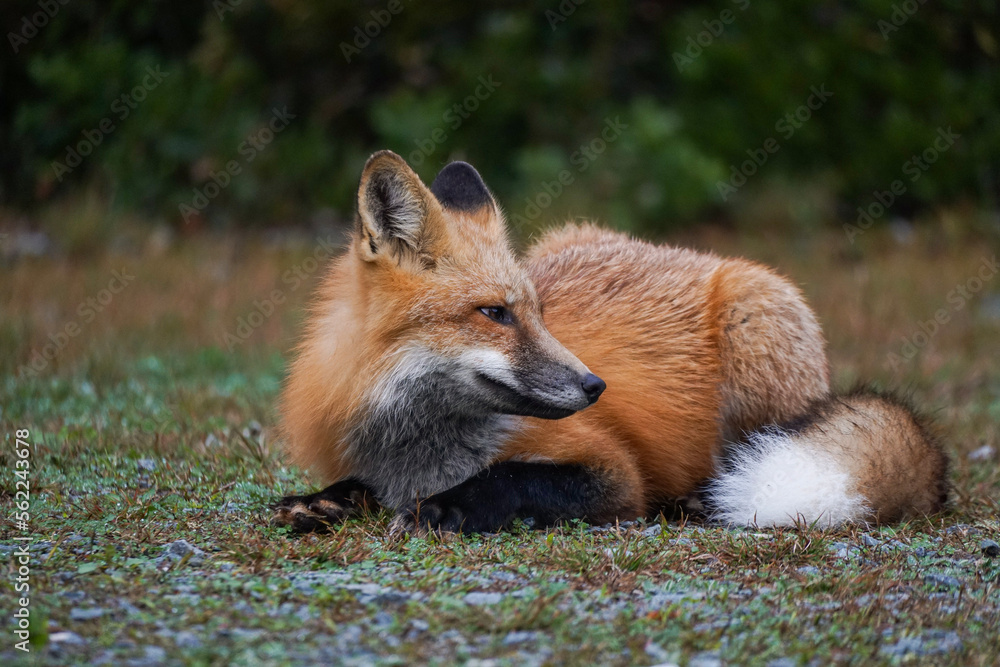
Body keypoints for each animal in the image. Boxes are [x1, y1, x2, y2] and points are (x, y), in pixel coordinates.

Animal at [272, 150, 949, 534]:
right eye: (495, 313)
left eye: (539, 313)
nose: (596, 386)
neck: (419, 451)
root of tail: (681, 251)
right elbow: (355, 486)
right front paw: (322, 502)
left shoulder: (614, 474)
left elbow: (513, 479)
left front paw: (450, 506)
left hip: (757, 335)